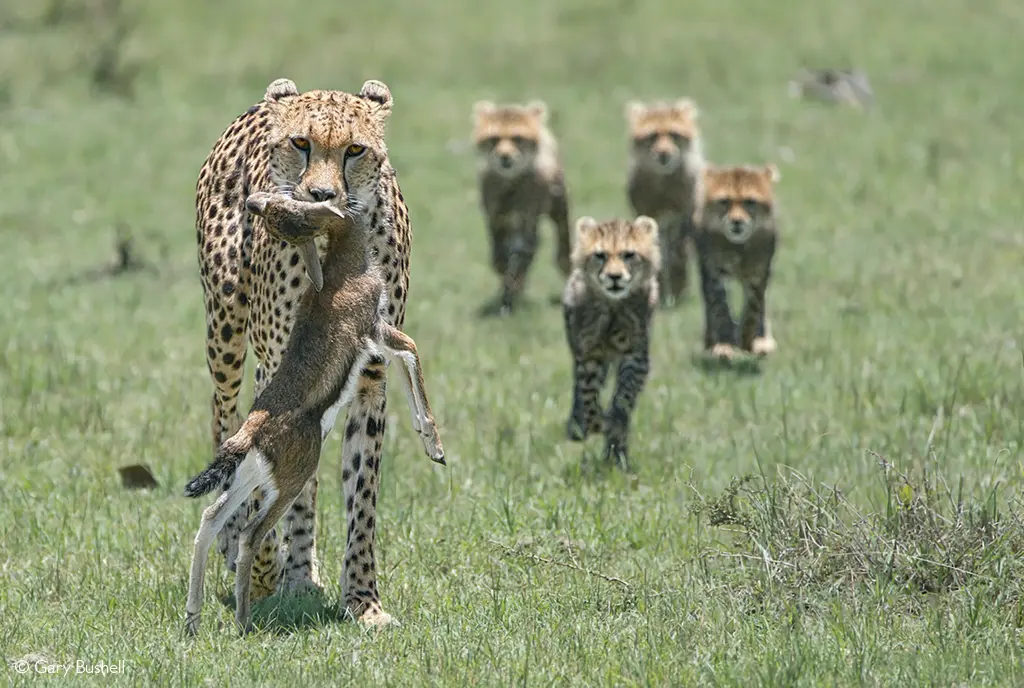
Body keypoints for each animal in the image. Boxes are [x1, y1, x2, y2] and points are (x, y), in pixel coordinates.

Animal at [194, 76, 412, 626]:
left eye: (354, 149)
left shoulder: (371, 374)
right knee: (224, 421)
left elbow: (362, 493)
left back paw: (299, 569)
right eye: (301, 143)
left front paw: (364, 601)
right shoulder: (278, 371)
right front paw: (262, 572)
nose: (321, 195)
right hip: (225, 339)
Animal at [471, 100, 573, 316]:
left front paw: (514, 286)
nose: (505, 157)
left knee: (561, 232)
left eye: (517, 138)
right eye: (494, 139)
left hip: (558, 203)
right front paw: (507, 281)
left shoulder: (527, 218)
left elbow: (521, 254)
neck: (510, 183)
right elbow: (499, 256)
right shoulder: (496, 218)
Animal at [561, 215, 661, 470]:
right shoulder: (590, 355)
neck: (613, 304)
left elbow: (624, 398)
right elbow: (588, 397)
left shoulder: (635, 357)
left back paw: (617, 454)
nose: (615, 277)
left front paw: (615, 423)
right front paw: (593, 422)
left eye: (629, 254)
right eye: (600, 255)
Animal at [625, 98, 706, 307]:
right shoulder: (650, 217)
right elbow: (656, 252)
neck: (664, 182)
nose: (664, 154)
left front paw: (678, 290)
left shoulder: (683, 216)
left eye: (674, 134)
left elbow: (679, 253)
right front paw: (660, 291)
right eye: (652, 136)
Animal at [693, 163, 781, 362]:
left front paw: (748, 341)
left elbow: (753, 309)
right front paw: (724, 344)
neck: (739, 246)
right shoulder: (714, 274)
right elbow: (720, 308)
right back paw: (711, 342)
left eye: (750, 202)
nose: (737, 222)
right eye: (724, 201)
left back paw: (762, 341)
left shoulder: (758, 274)